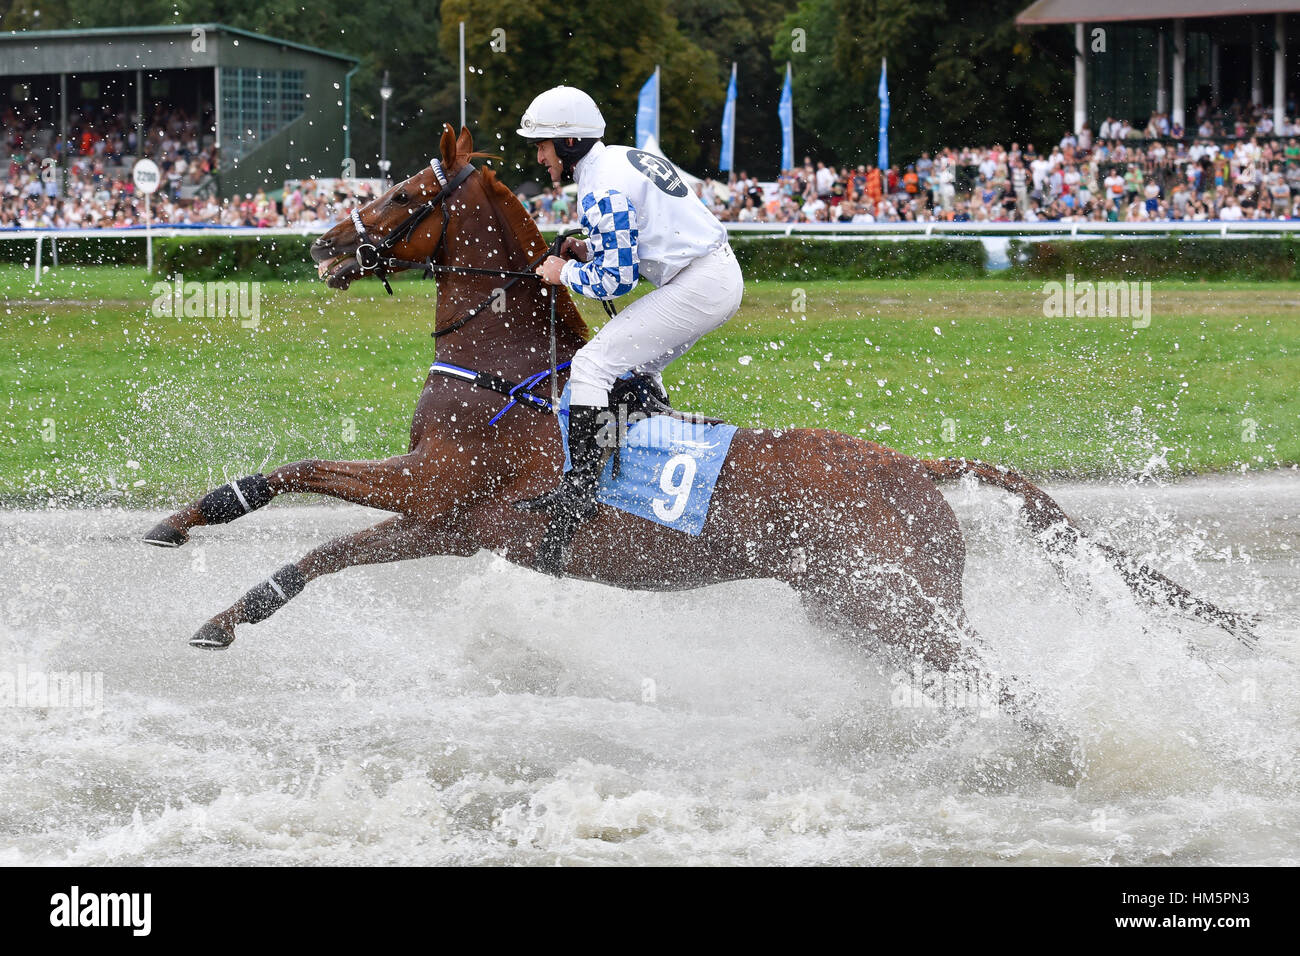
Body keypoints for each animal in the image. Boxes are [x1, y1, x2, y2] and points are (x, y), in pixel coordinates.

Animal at [144, 123, 1258, 712]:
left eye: (405, 187)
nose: (324, 246)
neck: (506, 372)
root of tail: (916, 467)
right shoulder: (448, 519)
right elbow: (316, 535)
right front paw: (211, 582)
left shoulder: (440, 494)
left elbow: (308, 489)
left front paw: (204, 537)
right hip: (856, 611)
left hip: (896, 609)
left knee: (999, 685)